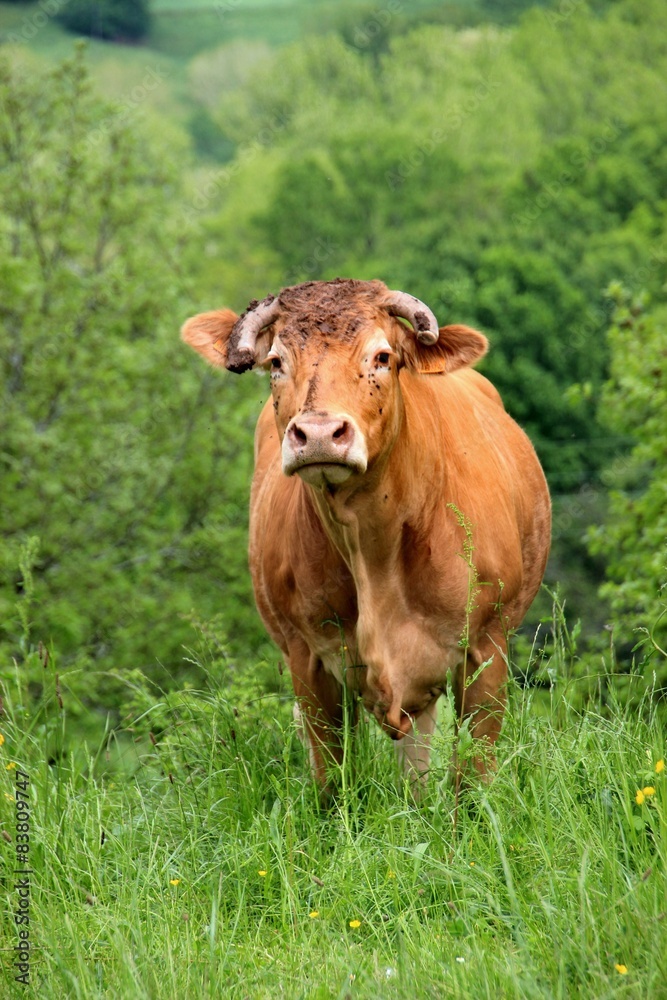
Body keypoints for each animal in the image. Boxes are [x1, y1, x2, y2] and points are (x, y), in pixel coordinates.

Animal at [182, 278, 551, 791]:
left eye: (381, 356)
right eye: (275, 361)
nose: (318, 433)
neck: (374, 550)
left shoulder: (487, 648)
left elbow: (472, 777)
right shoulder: (308, 661)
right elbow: (332, 778)